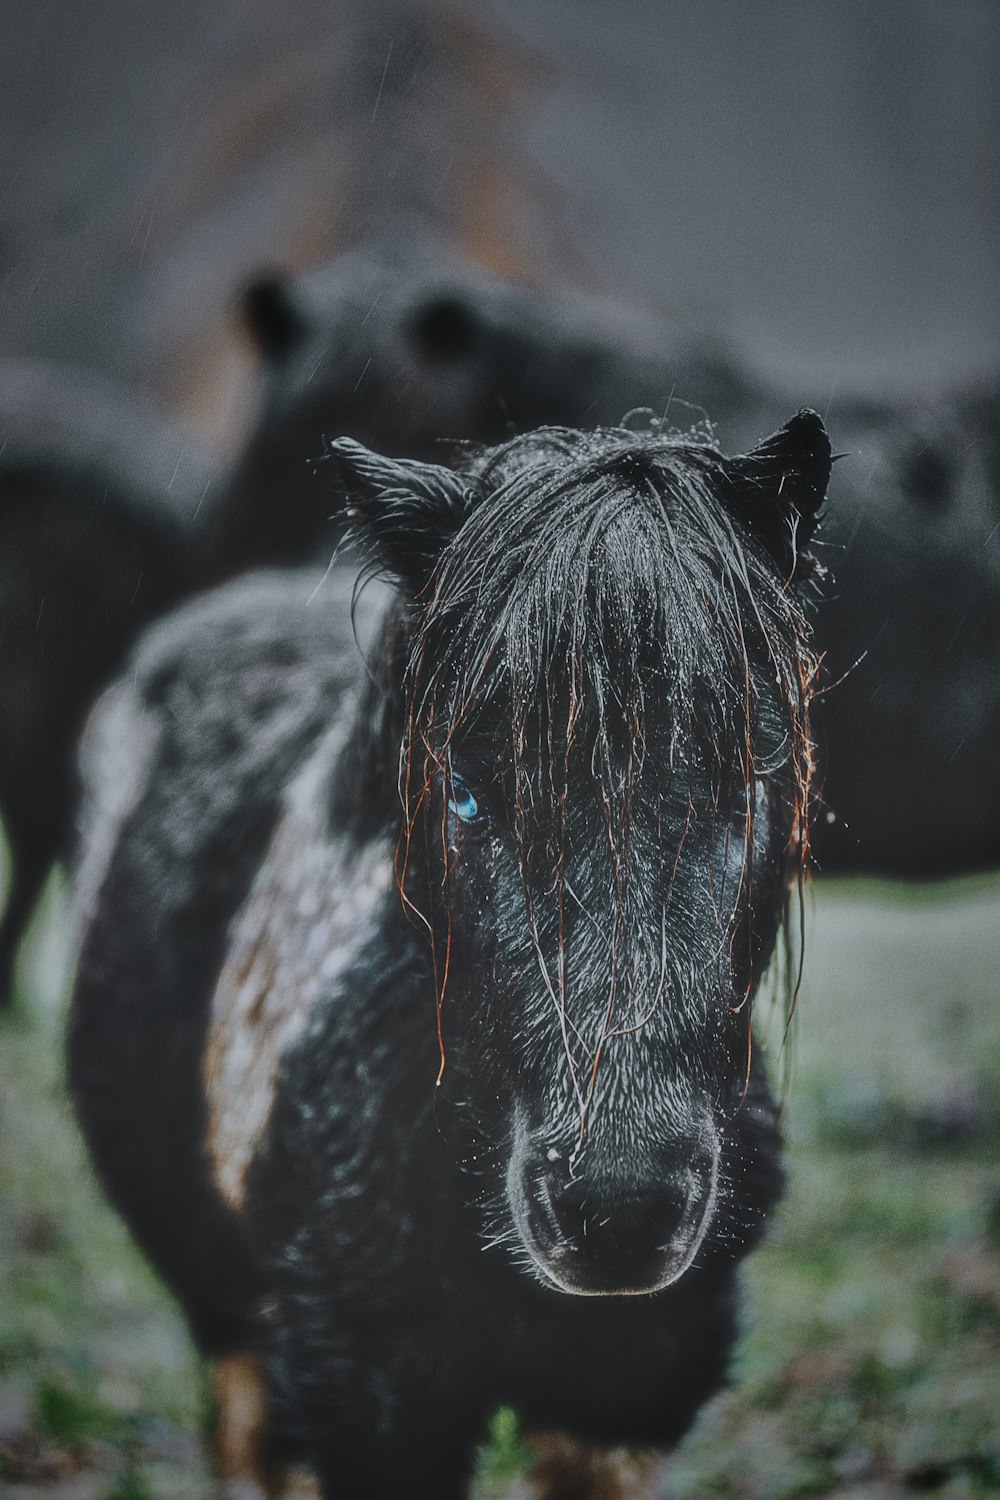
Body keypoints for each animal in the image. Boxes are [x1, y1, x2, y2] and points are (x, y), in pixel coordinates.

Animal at [70, 414, 833, 1500]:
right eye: (464, 792)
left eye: (746, 779)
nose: (618, 1210)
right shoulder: (370, 1398)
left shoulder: (625, 1395)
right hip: (231, 1320)